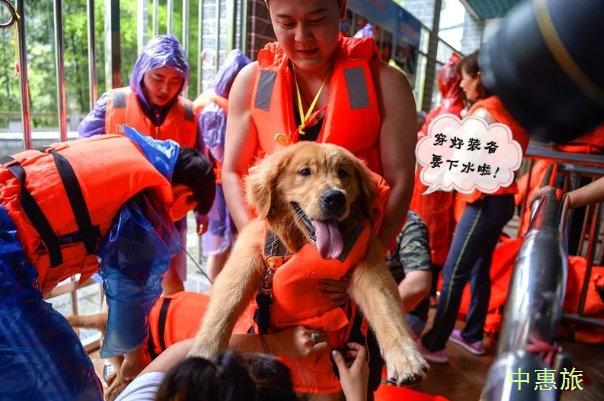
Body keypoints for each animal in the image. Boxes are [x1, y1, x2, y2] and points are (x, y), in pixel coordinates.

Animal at [189, 142, 430, 398]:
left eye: (343, 173)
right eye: (305, 172)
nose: (335, 198)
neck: (298, 245)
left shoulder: (369, 264)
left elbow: (386, 308)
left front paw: (405, 358)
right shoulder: (244, 260)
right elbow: (225, 306)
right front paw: (203, 353)